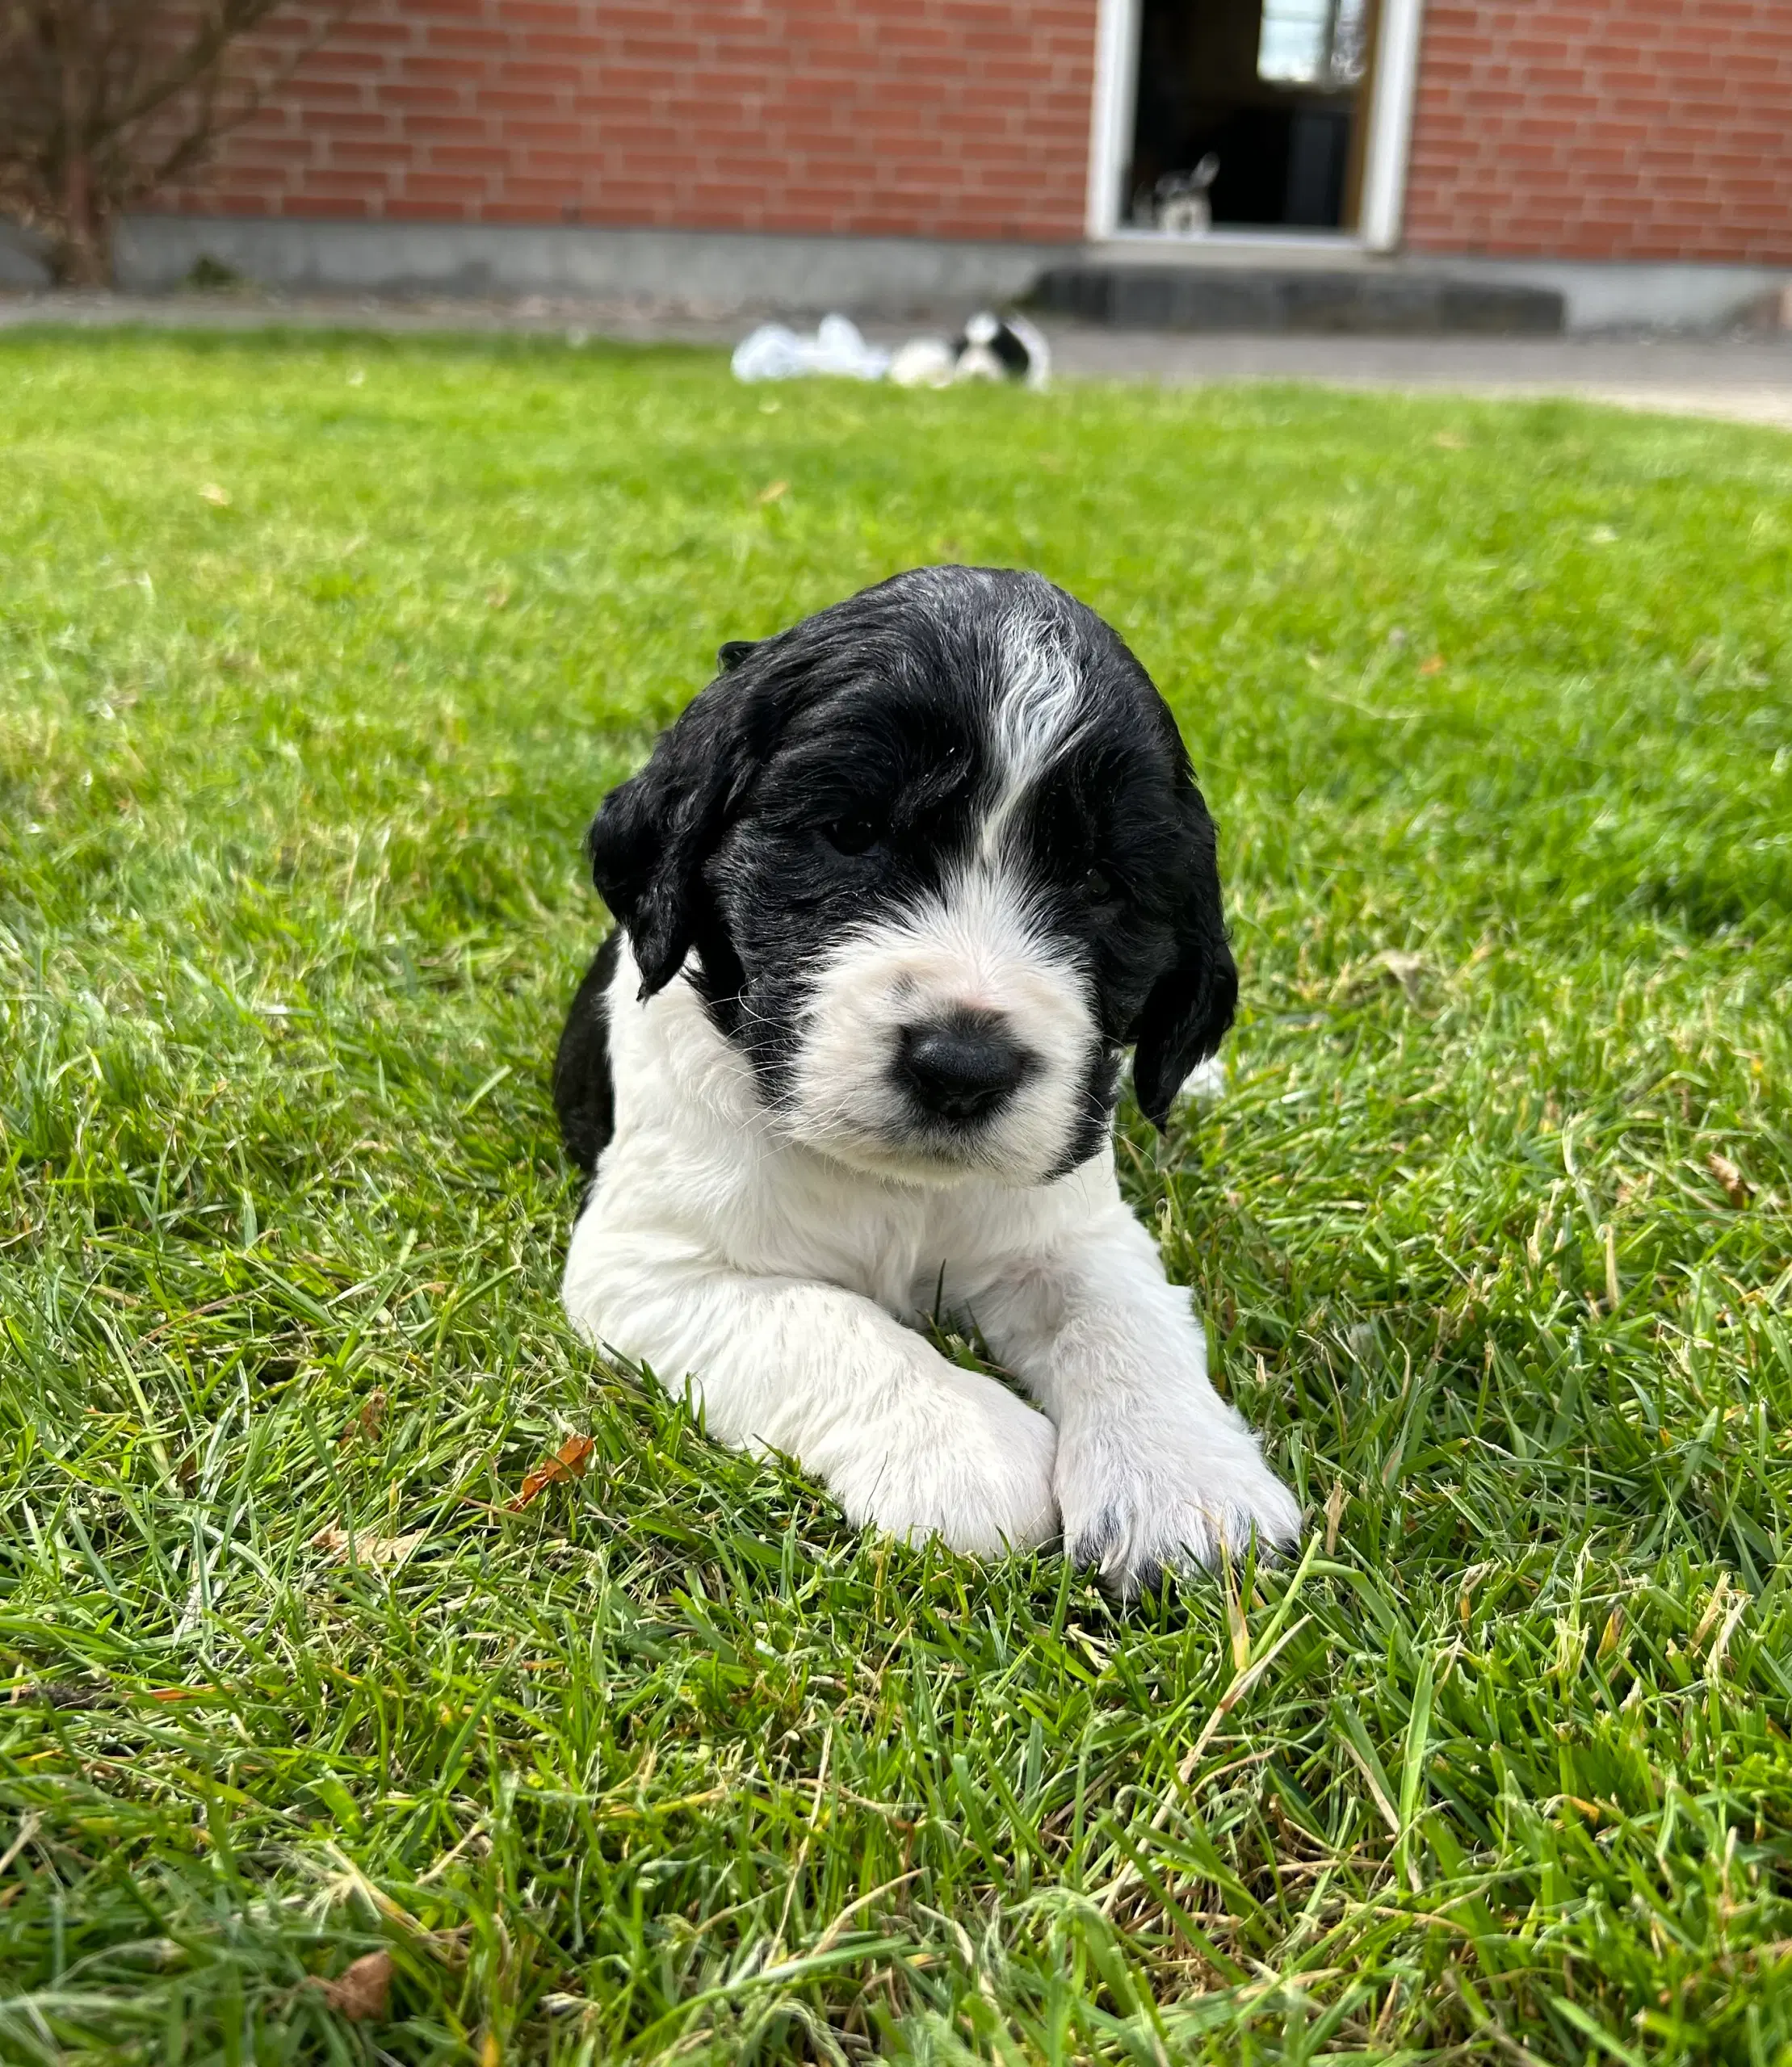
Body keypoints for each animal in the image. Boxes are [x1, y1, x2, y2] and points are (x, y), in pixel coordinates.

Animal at [553, 566, 1298, 1595]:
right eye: (848, 832)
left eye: (1099, 884)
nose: (962, 1066)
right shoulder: (649, 1266)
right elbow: (822, 1318)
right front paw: (962, 1448)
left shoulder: (1068, 1228)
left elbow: (1120, 1317)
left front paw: (1184, 1483)